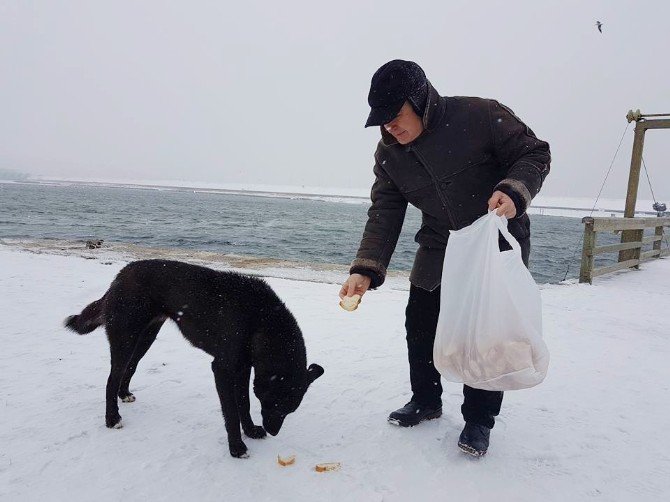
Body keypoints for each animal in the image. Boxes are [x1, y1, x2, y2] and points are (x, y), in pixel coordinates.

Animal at [64, 258, 324, 458]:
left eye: (289, 410)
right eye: (275, 404)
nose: (273, 432)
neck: (261, 320)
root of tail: (121, 275)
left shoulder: (243, 369)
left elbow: (244, 404)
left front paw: (250, 431)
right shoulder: (222, 369)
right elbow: (231, 412)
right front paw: (237, 447)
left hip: (145, 338)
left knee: (129, 368)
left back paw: (124, 394)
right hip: (125, 338)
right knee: (112, 378)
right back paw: (112, 418)